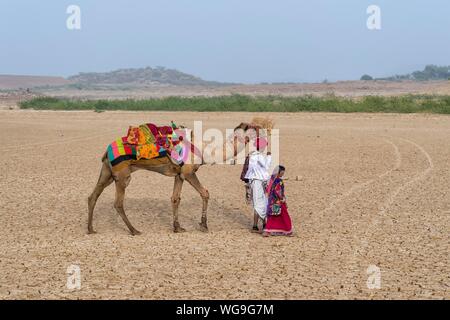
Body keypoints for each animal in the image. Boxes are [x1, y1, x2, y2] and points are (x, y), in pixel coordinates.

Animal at [87, 121, 260, 234]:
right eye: (253, 128)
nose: (261, 133)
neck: (205, 150)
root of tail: (107, 149)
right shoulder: (189, 172)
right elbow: (205, 193)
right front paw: (204, 226)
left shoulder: (179, 174)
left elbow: (175, 198)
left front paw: (178, 227)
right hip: (122, 174)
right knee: (118, 203)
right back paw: (134, 230)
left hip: (107, 171)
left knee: (93, 196)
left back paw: (91, 229)